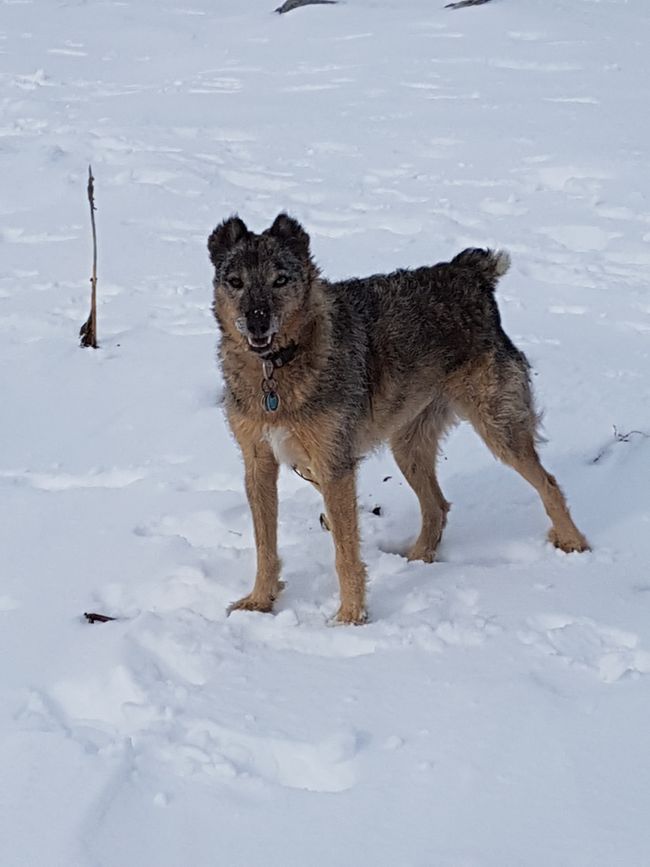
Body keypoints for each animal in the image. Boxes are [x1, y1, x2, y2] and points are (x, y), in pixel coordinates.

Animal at [209, 214, 588, 628]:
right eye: (236, 282)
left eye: (280, 280)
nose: (256, 323)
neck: (275, 371)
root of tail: (467, 271)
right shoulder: (258, 463)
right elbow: (265, 547)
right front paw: (259, 604)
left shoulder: (334, 467)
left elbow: (345, 555)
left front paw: (350, 618)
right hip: (406, 446)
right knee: (437, 506)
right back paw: (418, 560)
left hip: (499, 431)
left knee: (548, 483)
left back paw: (574, 544)